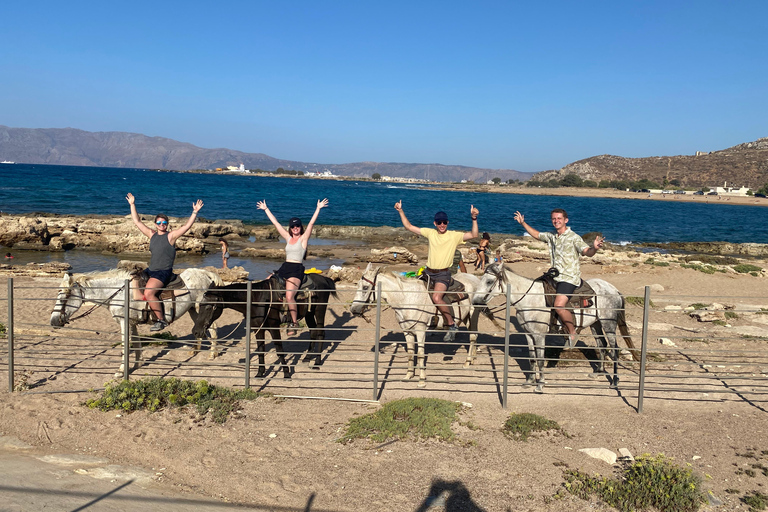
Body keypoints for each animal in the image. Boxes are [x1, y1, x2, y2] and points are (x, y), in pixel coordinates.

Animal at [49, 266, 222, 374]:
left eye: (63, 297)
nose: (53, 321)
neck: (121, 292)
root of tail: (206, 274)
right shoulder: (131, 322)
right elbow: (137, 343)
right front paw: (137, 364)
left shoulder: (123, 322)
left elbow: (125, 345)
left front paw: (120, 371)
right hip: (193, 309)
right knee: (200, 327)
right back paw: (195, 350)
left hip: (201, 307)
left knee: (212, 328)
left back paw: (212, 354)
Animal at [190, 274, 338, 378]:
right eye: (200, 305)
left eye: (209, 307)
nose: (196, 331)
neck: (257, 299)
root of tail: (324, 279)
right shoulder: (257, 328)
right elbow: (261, 349)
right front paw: (260, 373)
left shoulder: (273, 327)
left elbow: (279, 350)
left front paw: (286, 373)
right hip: (309, 313)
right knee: (313, 332)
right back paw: (307, 358)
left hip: (320, 310)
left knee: (320, 333)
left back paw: (317, 362)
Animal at [352, 264, 484, 388]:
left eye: (365, 287)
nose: (353, 310)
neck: (407, 299)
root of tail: (474, 278)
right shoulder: (407, 331)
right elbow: (411, 353)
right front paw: (408, 375)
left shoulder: (420, 330)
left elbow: (420, 354)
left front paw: (421, 380)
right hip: (466, 318)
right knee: (474, 336)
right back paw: (472, 359)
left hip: (473, 314)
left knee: (473, 336)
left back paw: (467, 362)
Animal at [472, 264, 632, 392]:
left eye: (489, 281)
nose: (475, 301)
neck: (530, 299)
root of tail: (614, 289)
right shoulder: (528, 334)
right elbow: (532, 358)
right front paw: (530, 381)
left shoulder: (539, 335)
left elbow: (540, 359)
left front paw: (540, 384)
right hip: (595, 324)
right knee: (602, 345)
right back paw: (598, 372)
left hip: (608, 324)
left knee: (614, 349)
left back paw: (615, 381)